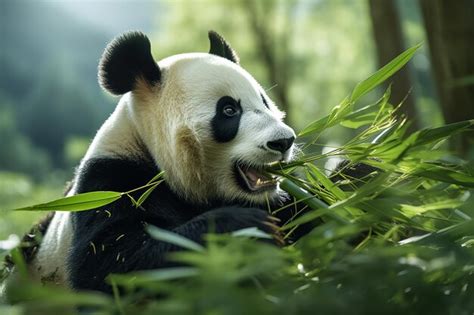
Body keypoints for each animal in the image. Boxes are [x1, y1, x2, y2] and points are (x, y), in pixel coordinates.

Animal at [1, 30, 304, 296]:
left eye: (265, 103)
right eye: (229, 110)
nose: (283, 141)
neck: (147, 147)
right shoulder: (110, 182)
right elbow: (110, 267)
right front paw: (242, 225)